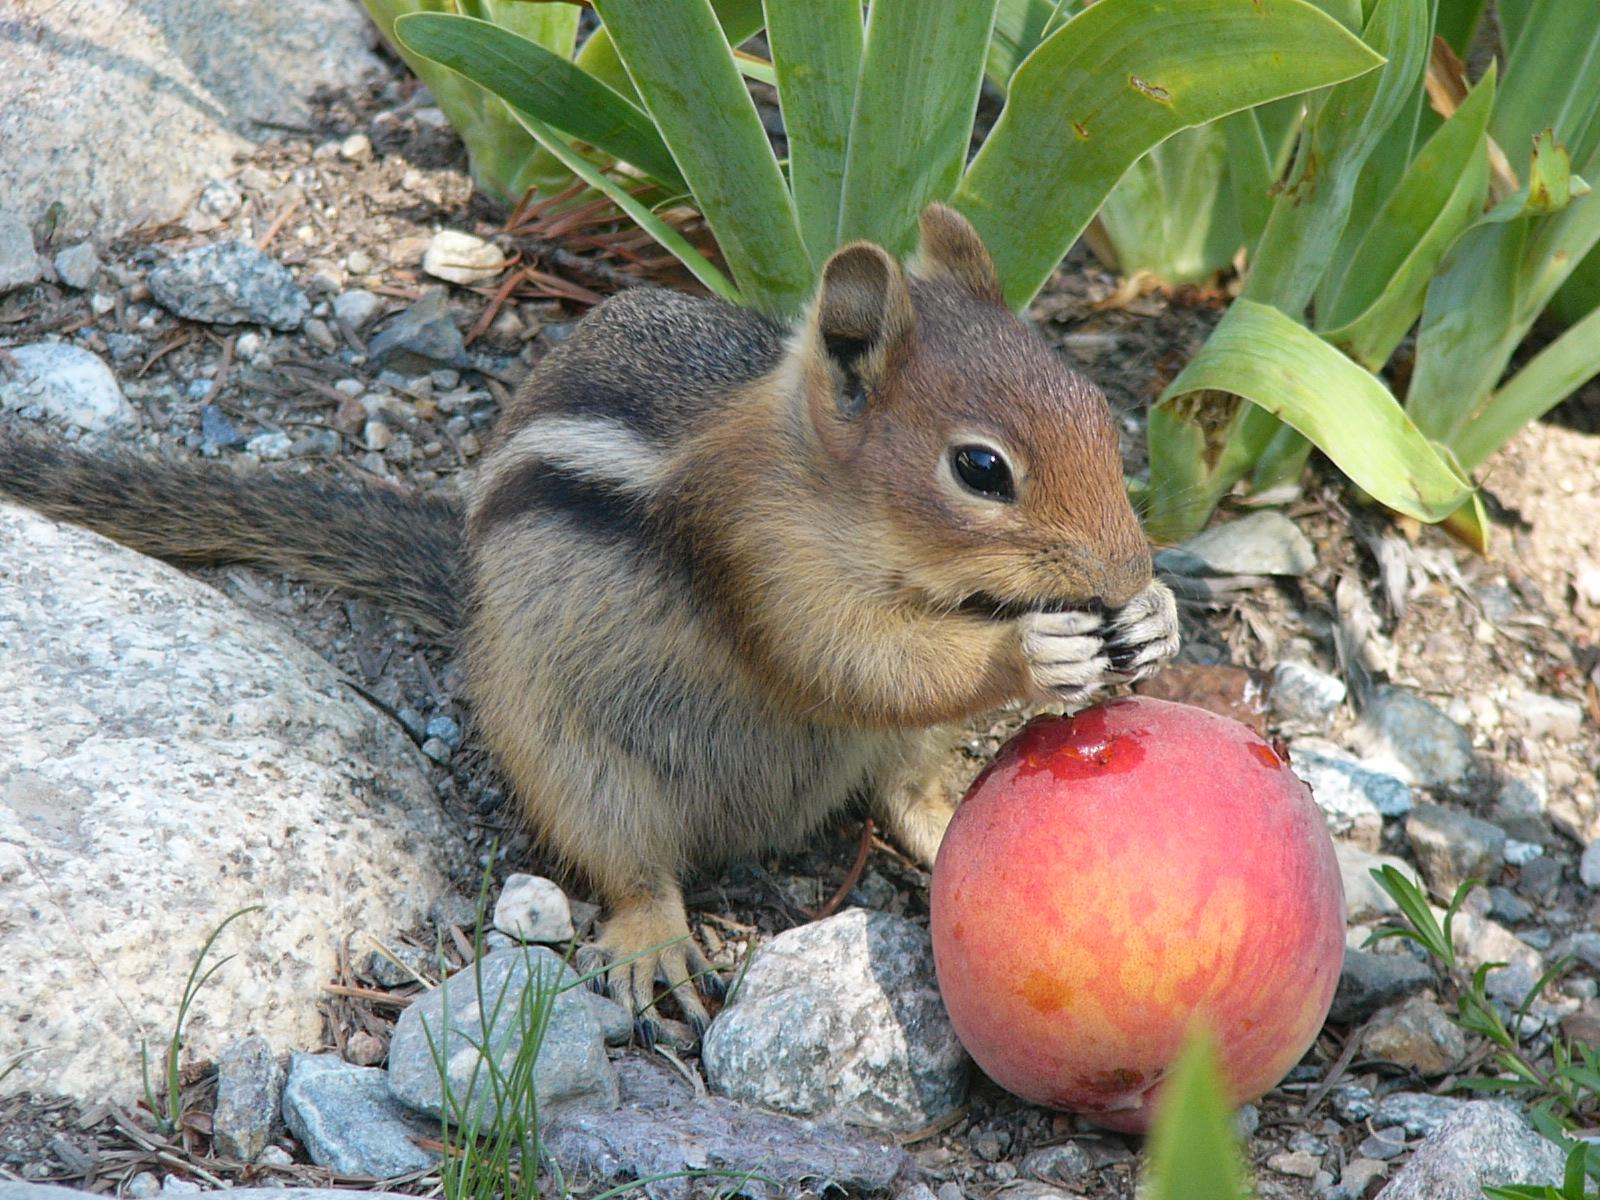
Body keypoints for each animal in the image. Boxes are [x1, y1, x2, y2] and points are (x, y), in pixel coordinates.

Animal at [0, 206, 1177, 1043]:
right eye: (979, 469)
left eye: (1095, 409)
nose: (1127, 567)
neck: (818, 485)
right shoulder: (759, 562)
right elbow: (849, 660)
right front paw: (1031, 646)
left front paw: (1154, 618)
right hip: (576, 760)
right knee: (630, 865)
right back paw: (656, 942)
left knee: (905, 785)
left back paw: (946, 826)